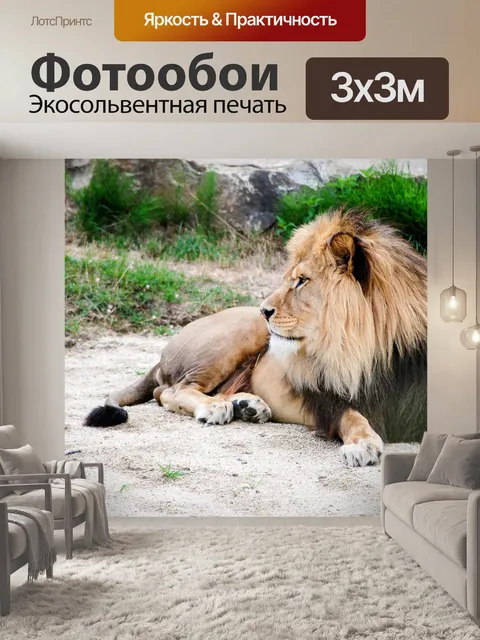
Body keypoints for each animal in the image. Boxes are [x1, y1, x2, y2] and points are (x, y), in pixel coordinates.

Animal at [84, 209, 427, 467]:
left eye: (301, 281)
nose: (265, 309)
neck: (372, 348)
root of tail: (160, 358)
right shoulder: (325, 399)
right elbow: (352, 416)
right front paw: (363, 444)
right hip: (238, 336)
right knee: (168, 391)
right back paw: (215, 407)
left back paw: (247, 406)